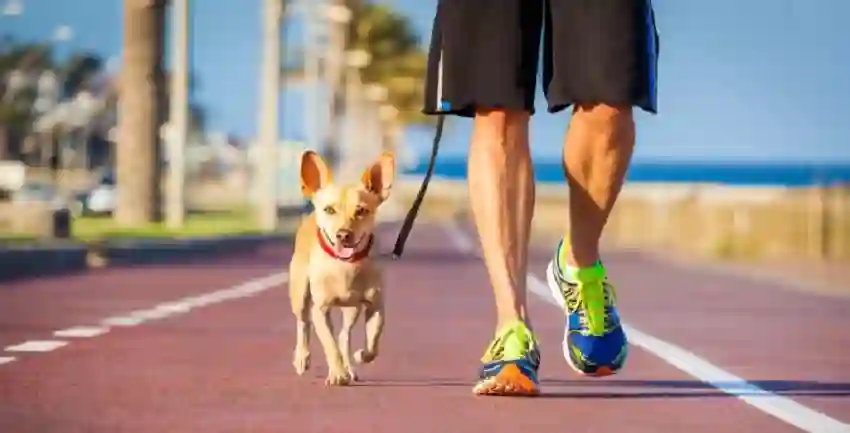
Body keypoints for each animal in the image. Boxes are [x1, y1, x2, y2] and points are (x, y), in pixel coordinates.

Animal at [284, 149, 390, 384]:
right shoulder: (320, 310)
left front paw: (360, 356)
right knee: (303, 323)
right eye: (329, 210)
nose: (343, 234)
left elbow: (374, 342)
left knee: (344, 336)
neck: (346, 267)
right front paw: (338, 373)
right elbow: (329, 344)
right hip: (300, 294)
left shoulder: (375, 306)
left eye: (361, 211)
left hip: (352, 309)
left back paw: (349, 365)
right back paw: (302, 358)